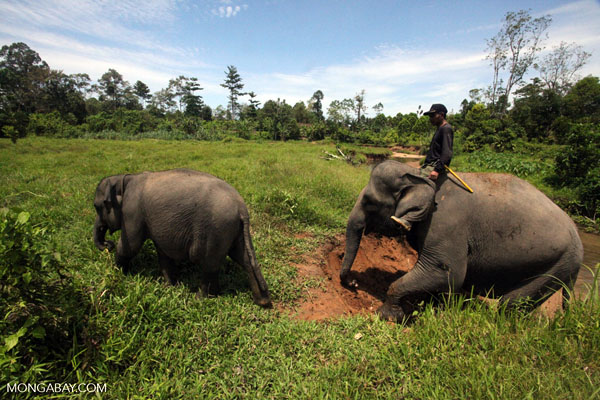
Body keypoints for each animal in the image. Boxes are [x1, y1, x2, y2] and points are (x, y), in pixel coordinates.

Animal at [93, 167, 272, 308]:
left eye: (97, 207)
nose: (107, 244)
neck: (125, 178)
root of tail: (241, 207)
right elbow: (163, 254)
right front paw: (169, 286)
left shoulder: (132, 211)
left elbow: (130, 246)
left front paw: (118, 275)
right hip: (232, 229)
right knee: (243, 259)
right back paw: (260, 301)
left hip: (216, 229)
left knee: (209, 264)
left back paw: (200, 298)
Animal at [340, 159, 584, 322]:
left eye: (369, 202)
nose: (353, 284)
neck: (418, 175)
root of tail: (578, 237)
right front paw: (435, 307)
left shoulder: (446, 225)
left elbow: (447, 272)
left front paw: (388, 317)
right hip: (560, 267)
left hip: (556, 265)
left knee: (510, 305)